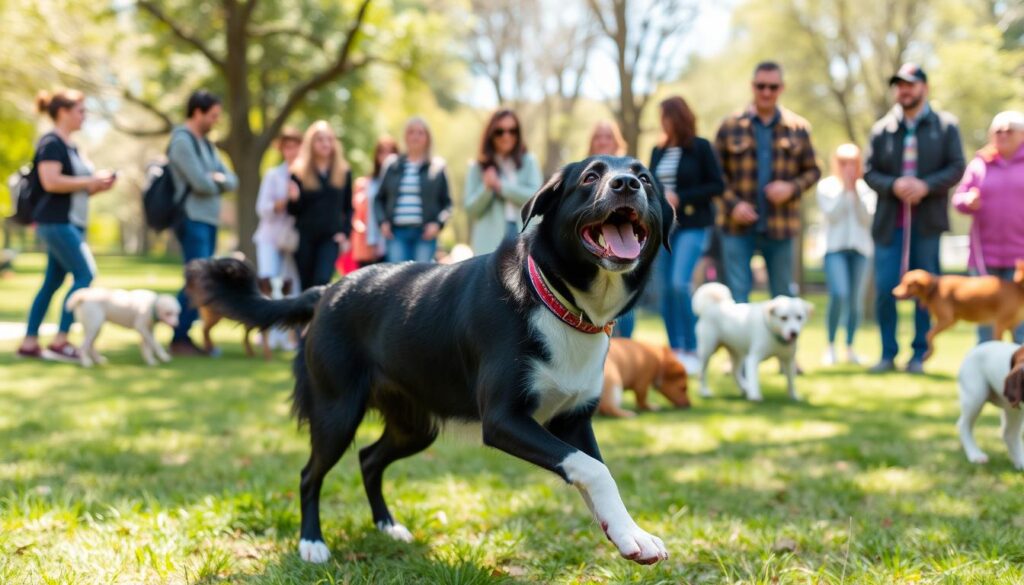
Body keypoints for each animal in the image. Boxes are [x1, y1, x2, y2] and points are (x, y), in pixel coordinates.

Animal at [195, 157, 675, 565]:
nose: (626, 184)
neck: (556, 301)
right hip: (336, 412)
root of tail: (327, 289)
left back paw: (388, 526)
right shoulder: (504, 420)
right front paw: (627, 532)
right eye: (591, 177)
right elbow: (591, 469)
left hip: (415, 425)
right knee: (310, 474)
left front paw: (629, 533)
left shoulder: (573, 421)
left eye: (646, 179)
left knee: (369, 459)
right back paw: (312, 542)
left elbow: (597, 471)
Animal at [892, 261, 1024, 362]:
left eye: (908, 284)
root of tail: (1017, 286)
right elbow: (930, 335)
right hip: (1009, 325)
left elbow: (928, 335)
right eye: (902, 281)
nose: (894, 293)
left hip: (999, 325)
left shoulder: (948, 320)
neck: (935, 289)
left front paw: (928, 354)